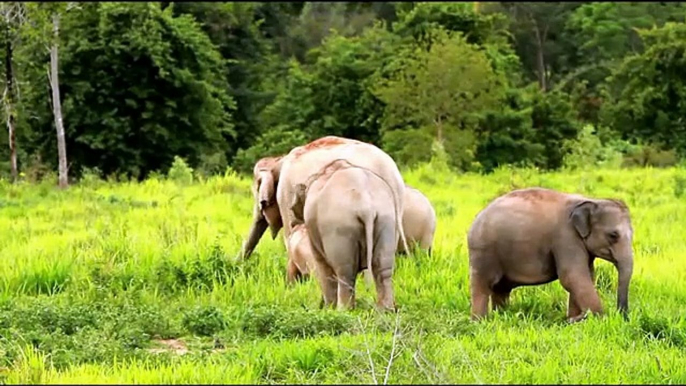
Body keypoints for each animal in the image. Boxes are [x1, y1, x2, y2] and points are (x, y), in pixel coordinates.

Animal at [241, 135, 408, 260]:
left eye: (256, 191)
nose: (239, 265)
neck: (279, 160)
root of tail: (388, 170)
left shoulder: (286, 191)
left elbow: (291, 233)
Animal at [292, 158, 404, 312]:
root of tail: (366, 206)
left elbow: (322, 265)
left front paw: (328, 308)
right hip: (386, 219)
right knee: (383, 268)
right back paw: (386, 310)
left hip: (339, 228)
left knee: (345, 272)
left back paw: (343, 311)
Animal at [468, 187, 636, 322]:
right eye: (613, 235)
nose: (623, 316)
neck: (592, 200)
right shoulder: (566, 238)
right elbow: (572, 277)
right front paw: (599, 319)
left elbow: (586, 276)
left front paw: (573, 318)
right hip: (482, 251)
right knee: (482, 285)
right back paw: (480, 322)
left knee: (501, 288)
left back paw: (502, 316)